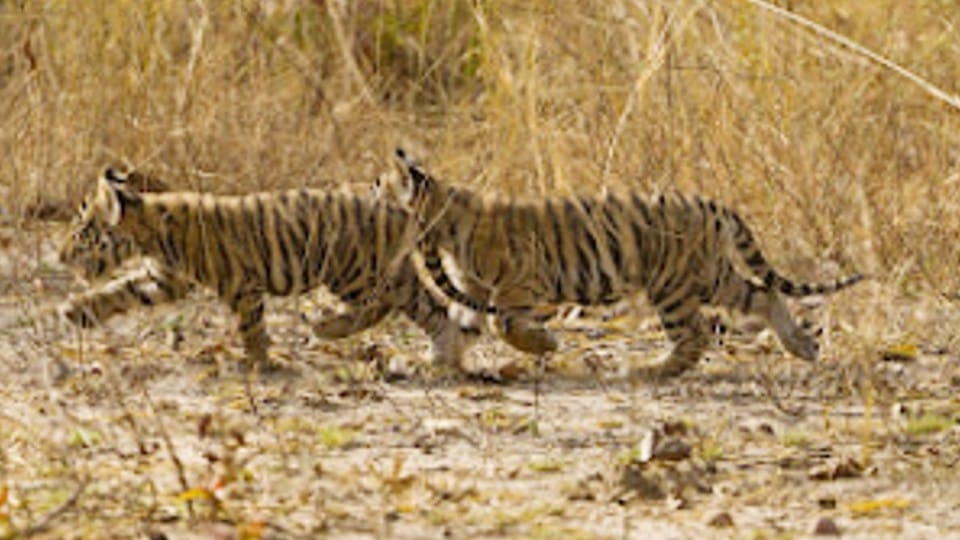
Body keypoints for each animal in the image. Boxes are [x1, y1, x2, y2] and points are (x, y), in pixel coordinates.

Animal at [57, 167, 479, 372]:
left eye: (80, 232)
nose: (60, 256)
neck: (148, 227)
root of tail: (401, 206)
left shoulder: (239, 285)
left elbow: (252, 327)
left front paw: (262, 363)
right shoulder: (165, 279)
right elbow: (121, 289)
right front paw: (77, 311)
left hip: (351, 271)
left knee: (380, 307)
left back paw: (325, 325)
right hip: (393, 273)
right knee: (434, 310)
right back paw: (443, 359)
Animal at [371, 148, 864, 379]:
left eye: (378, 186)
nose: (365, 195)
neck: (445, 226)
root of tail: (712, 205)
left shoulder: (519, 286)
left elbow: (503, 324)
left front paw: (545, 344)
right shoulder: (474, 291)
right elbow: (462, 324)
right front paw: (439, 361)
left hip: (671, 284)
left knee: (696, 334)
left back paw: (648, 370)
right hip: (709, 275)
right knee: (763, 295)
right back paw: (802, 345)